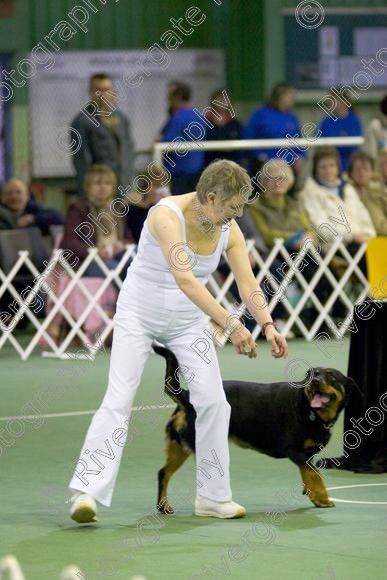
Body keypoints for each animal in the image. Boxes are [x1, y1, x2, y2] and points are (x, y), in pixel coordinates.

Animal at [154, 344, 358, 512]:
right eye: (312, 374)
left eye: (331, 376)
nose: (315, 381)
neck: (309, 409)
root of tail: (187, 397)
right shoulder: (295, 451)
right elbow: (315, 475)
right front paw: (323, 498)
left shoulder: (308, 454)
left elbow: (309, 474)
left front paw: (313, 495)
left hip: (180, 446)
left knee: (163, 473)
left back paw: (163, 506)